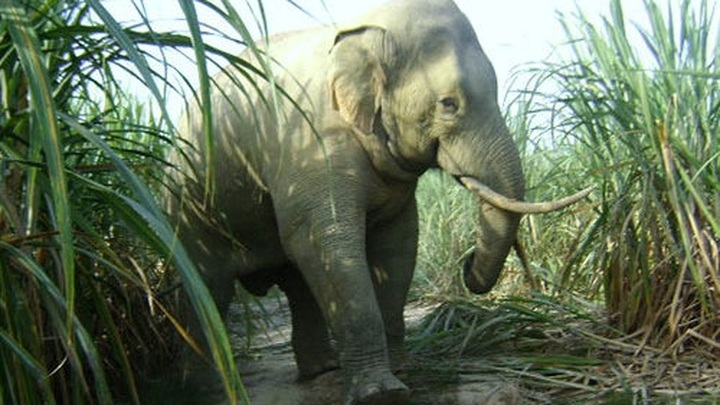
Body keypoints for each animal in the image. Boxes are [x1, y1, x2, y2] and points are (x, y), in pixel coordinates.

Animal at [166, 0, 588, 403]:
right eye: (449, 104)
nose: (466, 265)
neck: (356, 32)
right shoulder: (312, 146)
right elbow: (327, 241)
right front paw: (381, 393)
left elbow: (397, 244)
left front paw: (401, 370)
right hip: (186, 204)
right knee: (207, 284)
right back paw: (202, 389)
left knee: (297, 282)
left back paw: (321, 370)